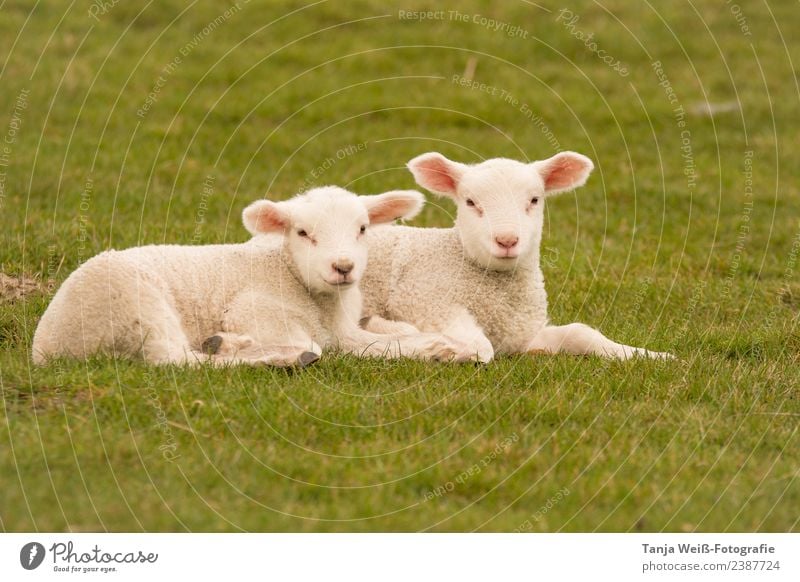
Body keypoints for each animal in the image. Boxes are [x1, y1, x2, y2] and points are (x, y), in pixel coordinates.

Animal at [32, 187, 476, 368]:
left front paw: (444, 348)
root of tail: (47, 345)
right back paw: (272, 357)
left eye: (364, 228)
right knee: (175, 361)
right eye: (303, 232)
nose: (343, 267)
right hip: (136, 304)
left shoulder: (345, 327)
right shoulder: (254, 308)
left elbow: (388, 338)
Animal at [360, 151, 672, 362]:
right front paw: (426, 343)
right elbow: (479, 347)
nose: (507, 240)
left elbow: (581, 332)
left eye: (534, 200)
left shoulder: (522, 336)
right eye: (470, 202)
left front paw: (649, 355)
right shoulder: (427, 303)